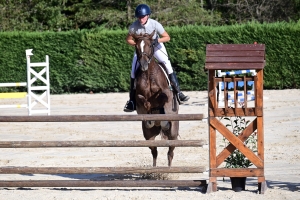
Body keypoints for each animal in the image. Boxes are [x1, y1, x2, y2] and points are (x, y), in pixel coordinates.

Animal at [131, 30, 178, 166]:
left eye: (150, 45)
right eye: (136, 47)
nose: (143, 65)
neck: (148, 74)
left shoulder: (167, 93)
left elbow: (162, 95)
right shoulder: (138, 97)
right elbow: (142, 99)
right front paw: (148, 107)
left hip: (173, 131)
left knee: (170, 152)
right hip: (148, 134)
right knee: (154, 151)